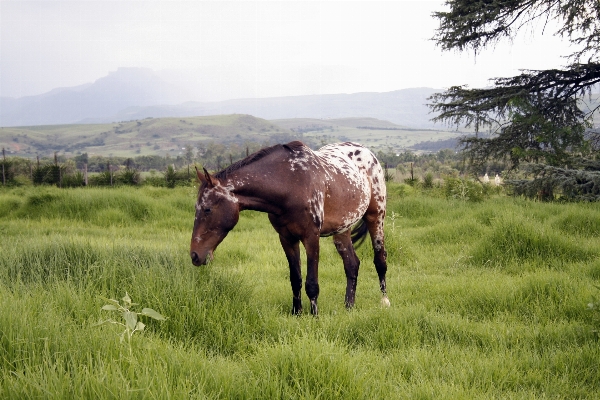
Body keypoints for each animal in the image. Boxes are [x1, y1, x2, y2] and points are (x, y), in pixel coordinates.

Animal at [190, 141, 392, 316]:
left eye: (207, 209)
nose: (195, 255)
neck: (291, 183)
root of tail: (368, 153)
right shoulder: (287, 238)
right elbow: (295, 278)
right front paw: (297, 313)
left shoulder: (311, 237)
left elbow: (312, 283)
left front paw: (314, 316)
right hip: (342, 229)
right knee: (351, 265)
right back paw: (349, 306)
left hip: (376, 217)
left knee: (380, 260)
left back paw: (385, 301)